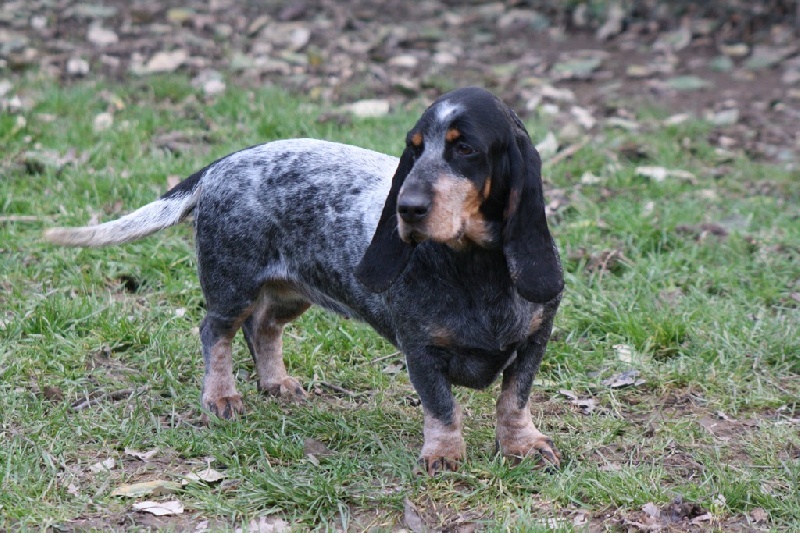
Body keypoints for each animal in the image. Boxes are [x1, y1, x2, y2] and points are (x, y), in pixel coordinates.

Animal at [47, 87, 564, 474]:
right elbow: (442, 408)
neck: (473, 269)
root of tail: (222, 164)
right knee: (216, 331)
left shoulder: (534, 342)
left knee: (262, 328)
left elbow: (513, 401)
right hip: (233, 284)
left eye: (466, 148)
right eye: (414, 149)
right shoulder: (420, 352)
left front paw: (522, 446)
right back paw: (221, 397)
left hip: (290, 293)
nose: (407, 208)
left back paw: (275, 383)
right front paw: (443, 455)